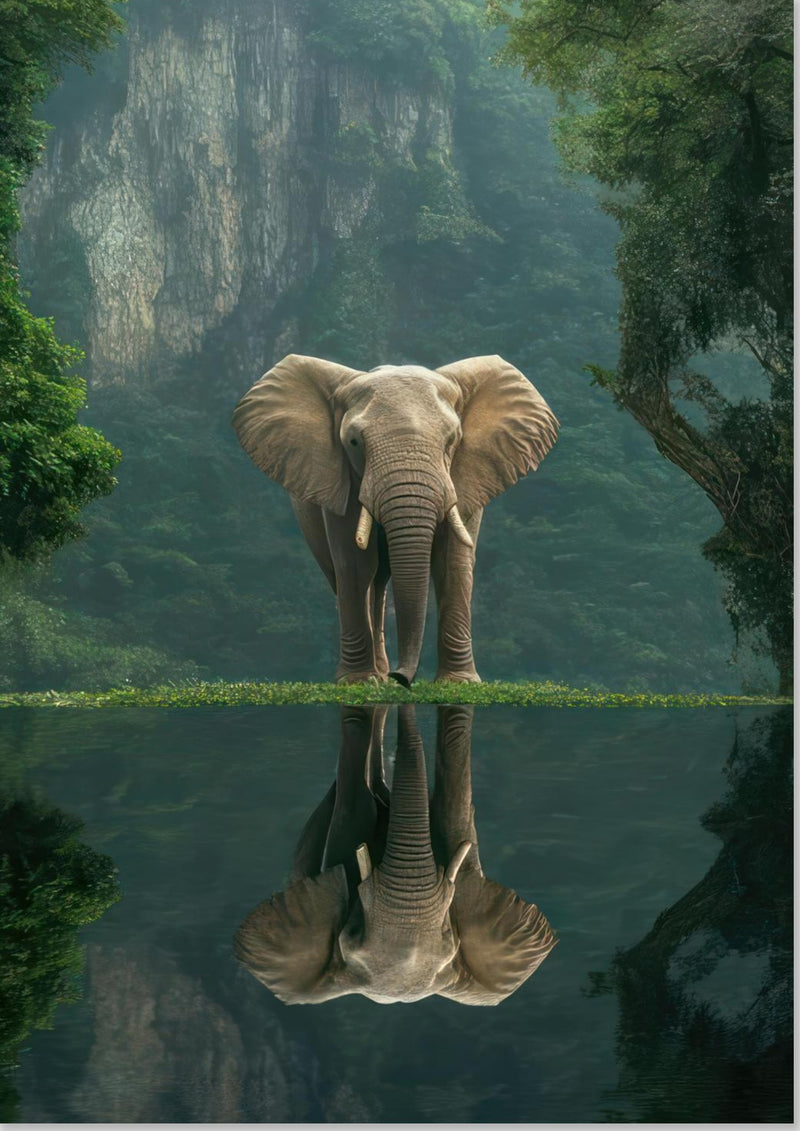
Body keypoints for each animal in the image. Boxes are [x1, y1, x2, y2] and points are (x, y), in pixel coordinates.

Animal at [232, 354, 558, 685]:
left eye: (452, 440)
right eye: (353, 442)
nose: (401, 677)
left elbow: (453, 560)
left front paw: (459, 682)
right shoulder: (340, 478)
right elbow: (354, 563)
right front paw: (358, 683)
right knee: (356, 577)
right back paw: (376, 676)